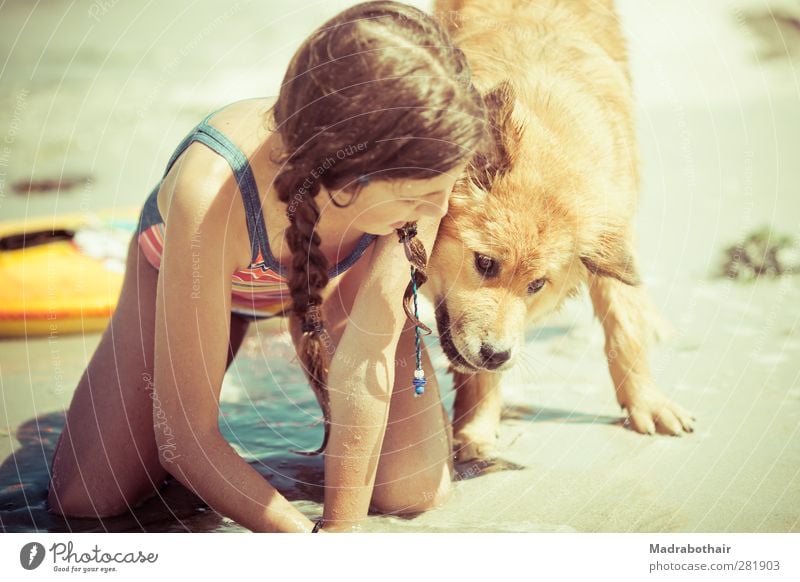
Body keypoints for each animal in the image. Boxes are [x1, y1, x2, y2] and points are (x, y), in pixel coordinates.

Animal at [428, 1, 696, 466]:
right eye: (485, 263)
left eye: (537, 285)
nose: (496, 355)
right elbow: (476, 377)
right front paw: (477, 429)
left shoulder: (612, 226)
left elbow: (625, 323)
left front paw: (647, 402)